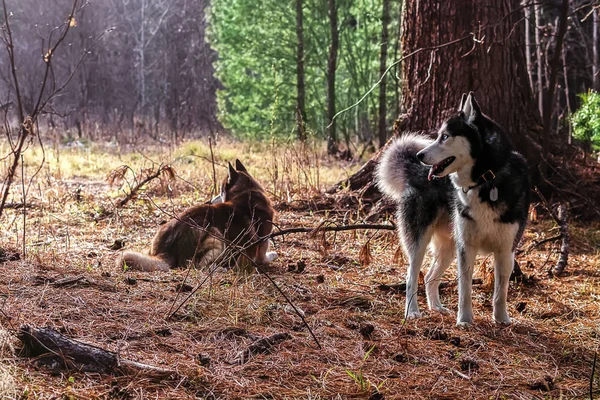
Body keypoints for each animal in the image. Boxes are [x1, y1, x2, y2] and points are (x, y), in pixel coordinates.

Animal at [116, 159, 278, 272]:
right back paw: (219, 269)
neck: (247, 194)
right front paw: (273, 255)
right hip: (216, 234)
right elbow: (265, 257)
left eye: (220, 191)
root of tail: (165, 251)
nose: (209, 201)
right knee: (197, 266)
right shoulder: (261, 247)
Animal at [378, 93, 528, 324]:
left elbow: (500, 291)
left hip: (449, 246)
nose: (420, 155)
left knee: (430, 277)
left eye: (445, 136)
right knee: (412, 276)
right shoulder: (466, 247)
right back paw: (412, 311)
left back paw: (437, 307)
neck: (485, 181)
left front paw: (501, 319)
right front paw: (465, 319)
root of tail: (413, 169)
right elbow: (464, 288)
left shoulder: (505, 250)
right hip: (421, 240)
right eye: (439, 135)